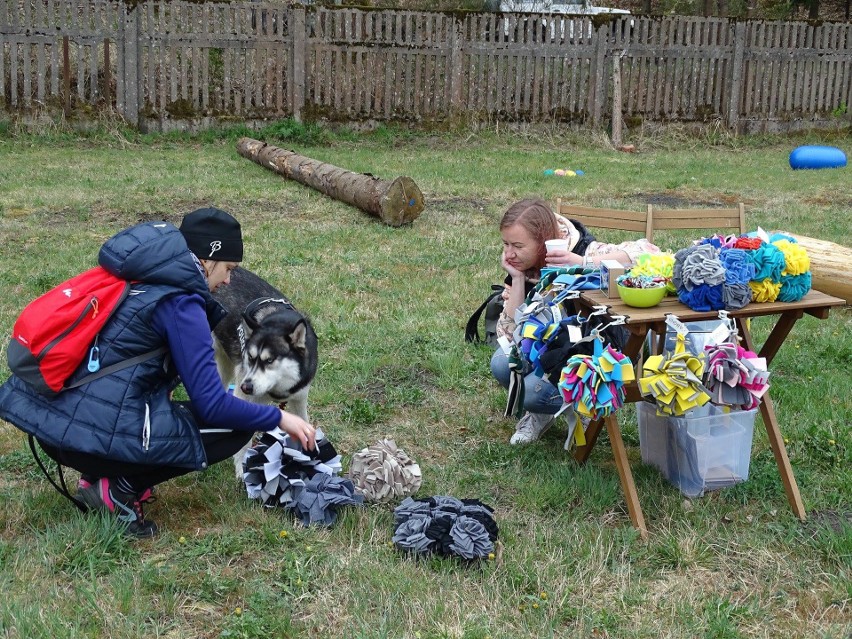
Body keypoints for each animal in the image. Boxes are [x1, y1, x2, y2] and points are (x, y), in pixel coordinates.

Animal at [212, 268, 320, 478]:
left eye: (269, 360)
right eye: (251, 357)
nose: (246, 386)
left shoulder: (299, 398)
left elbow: (304, 423)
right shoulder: (246, 399)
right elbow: (244, 443)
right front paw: (242, 470)